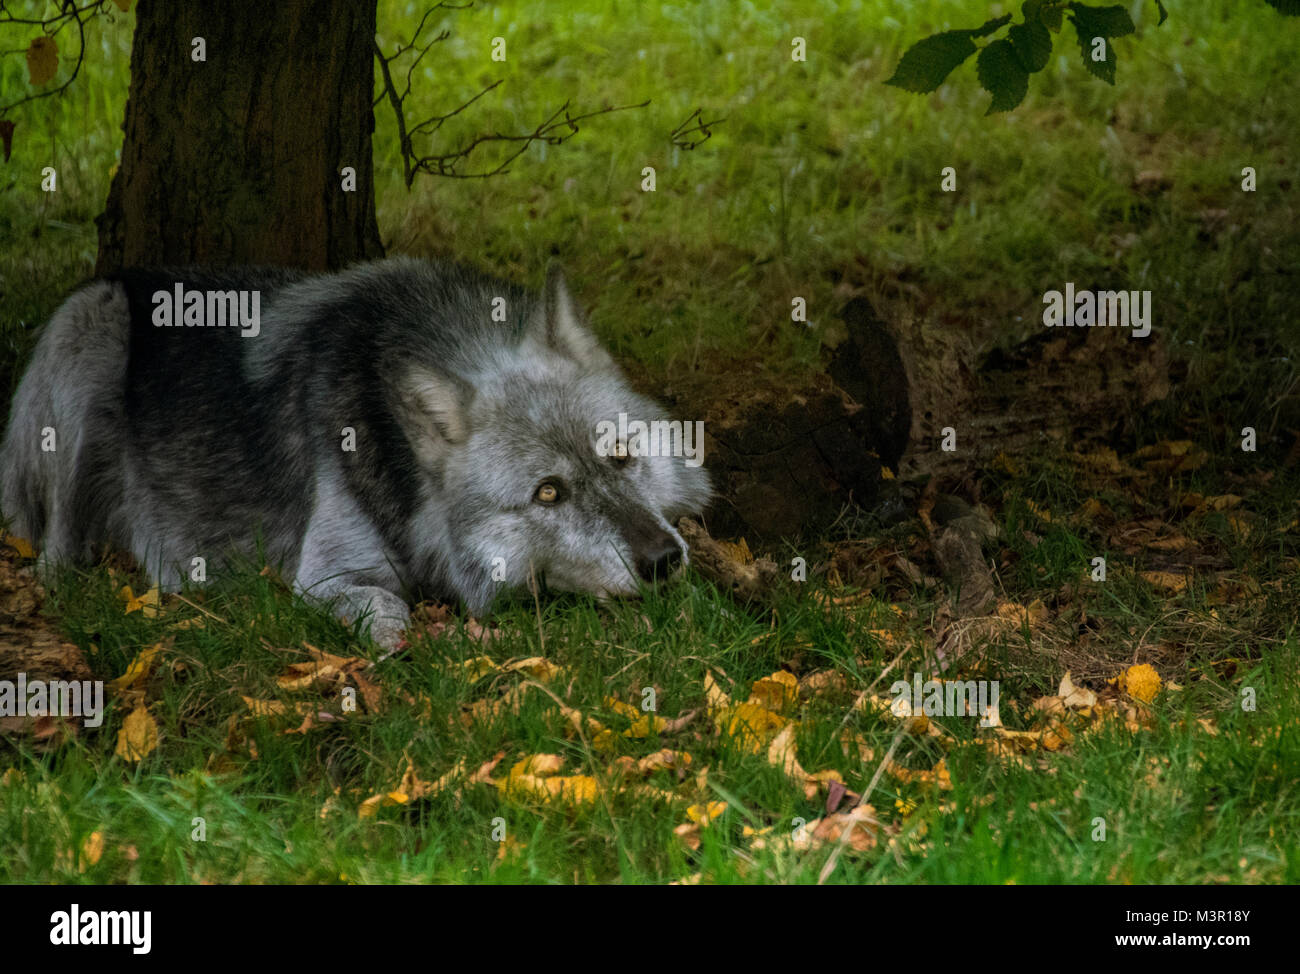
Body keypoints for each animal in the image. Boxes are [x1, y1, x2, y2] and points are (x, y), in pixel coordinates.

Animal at [0, 258, 712, 644]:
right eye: (548, 493)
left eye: (620, 455)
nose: (662, 561)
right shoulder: (327, 578)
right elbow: (391, 611)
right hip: (93, 331)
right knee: (54, 552)